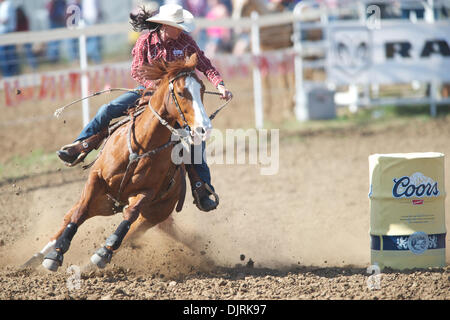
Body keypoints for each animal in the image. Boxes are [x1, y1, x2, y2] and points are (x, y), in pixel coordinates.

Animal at [23, 53, 214, 272]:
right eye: (182, 93)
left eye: (202, 89)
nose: (204, 127)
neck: (142, 147)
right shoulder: (96, 180)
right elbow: (79, 213)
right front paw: (56, 255)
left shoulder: (147, 193)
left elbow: (129, 215)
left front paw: (102, 253)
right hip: (103, 203)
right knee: (69, 216)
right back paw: (35, 258)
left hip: (150, 215)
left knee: (129, 233)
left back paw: (92, 261)